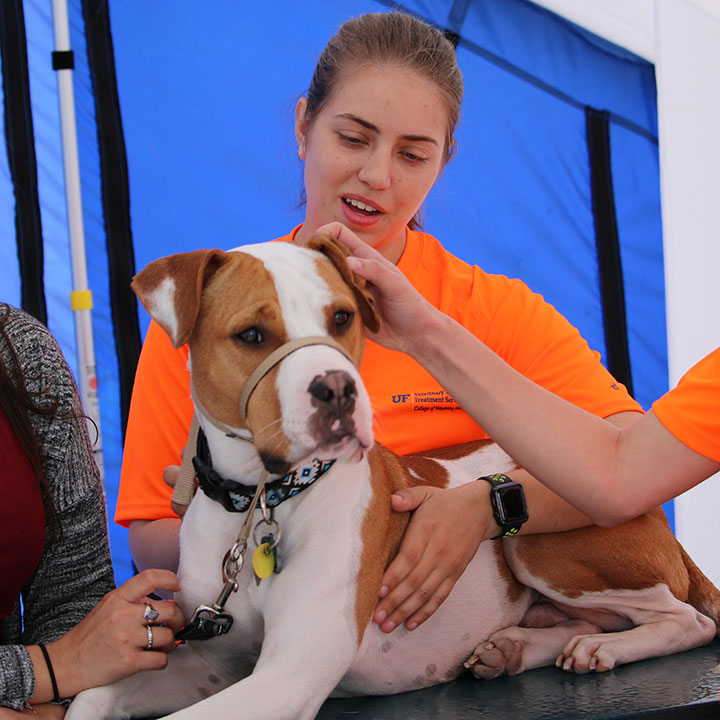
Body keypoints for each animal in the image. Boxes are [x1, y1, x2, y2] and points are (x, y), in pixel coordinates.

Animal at [64, 239, 716, 716]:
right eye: (251, 334)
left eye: (342, 317)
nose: (337, 388)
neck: (262, 503)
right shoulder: (216, 662)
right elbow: (91, 697)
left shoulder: (288, 673)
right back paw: (518, 646)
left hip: (536, 542)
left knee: (689, 620)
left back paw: (608, 646)